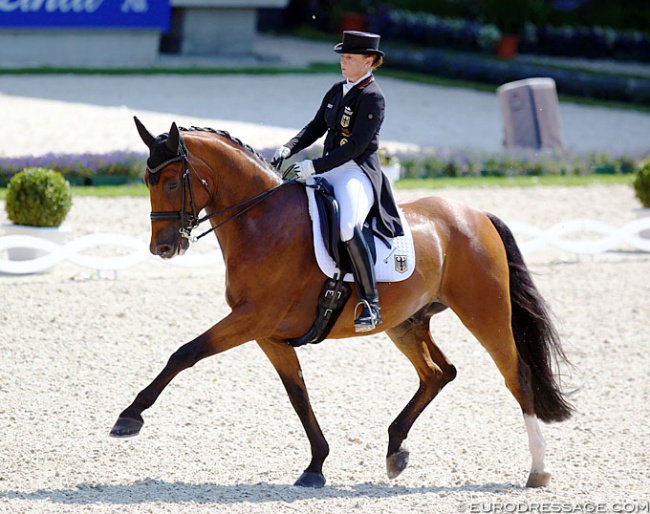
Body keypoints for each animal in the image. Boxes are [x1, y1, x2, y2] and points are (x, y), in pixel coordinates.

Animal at [111, 117, 572, 488]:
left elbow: (184, 353)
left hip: (484, 312)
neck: (261, 221)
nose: (162, 248)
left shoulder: (252, 319)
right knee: (439, 372)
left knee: (516, 375)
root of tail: (474, 213)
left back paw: (538, 469)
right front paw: (315, 466)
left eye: (173, 182)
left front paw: (129, 417)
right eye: (148, 182)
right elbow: (298, 396)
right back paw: (395, 451)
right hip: (405, 323)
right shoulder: (269, 335)